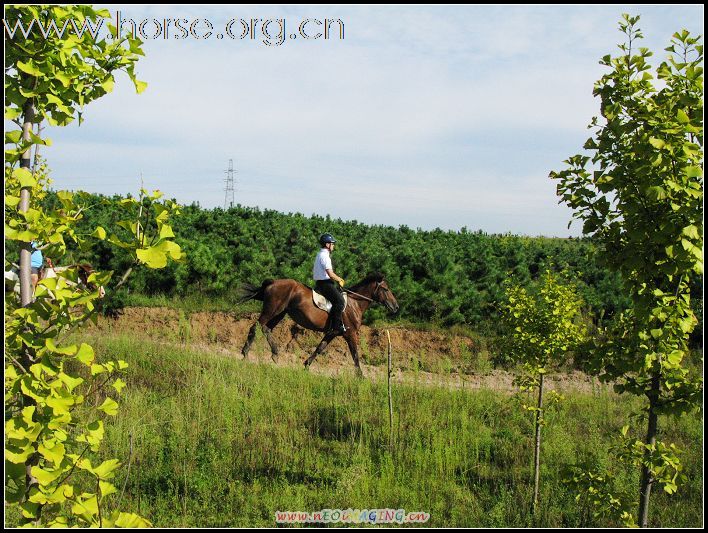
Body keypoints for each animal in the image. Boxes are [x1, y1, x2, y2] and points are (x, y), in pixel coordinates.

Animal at [241, 272, 398, 376]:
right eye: (385, 289)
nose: (395, 307)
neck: (354, 304)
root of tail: (273, 282)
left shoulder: (332, 333)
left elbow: (320, 348)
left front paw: (306, 365)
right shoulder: (350, 333)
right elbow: (355, 353)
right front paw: (360, 376)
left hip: (280, 313)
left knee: (265, 328)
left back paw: (273, 353)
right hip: (272, 310)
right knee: (256, 326)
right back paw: (246, 353)